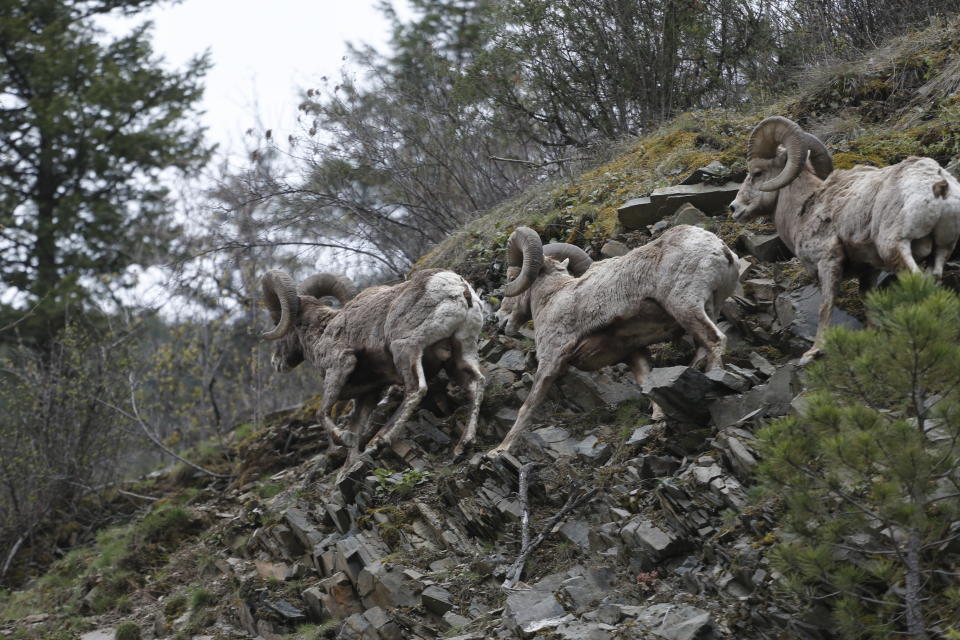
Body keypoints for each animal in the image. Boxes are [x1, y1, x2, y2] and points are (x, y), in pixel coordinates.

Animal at [260, 268, 484, 458]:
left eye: (278, 322)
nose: (276, 362)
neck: (322, 332)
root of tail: (457, 287)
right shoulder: (367, 395)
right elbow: (355, 435)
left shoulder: (339, 367)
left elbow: (321, 413)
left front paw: (345, 438)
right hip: (460, 351)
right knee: (476, 383)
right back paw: (463, 445)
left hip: (405, 349)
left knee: (416, 389)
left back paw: (378, 441)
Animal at [492, 225, 740, 456]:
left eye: (511, 277)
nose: (499, 319)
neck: (553, 298)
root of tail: (720, 249)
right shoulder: (632, 352)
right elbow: (646, 382)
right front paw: (658, 418)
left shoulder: (551, 361)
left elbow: (528, 406)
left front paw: (500, 450)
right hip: (710, 307)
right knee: (702, 348)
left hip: (686, 306)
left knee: (715, 340)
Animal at [728, 117, 960, 362]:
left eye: (757, 173)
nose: (734, 208)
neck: (805, 208)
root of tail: (939, 185)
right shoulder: (869, 271)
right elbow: (868, 303)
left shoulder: (828, 262)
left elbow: (826, 306)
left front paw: (814, 351)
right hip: (941, 251)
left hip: (895, 248)